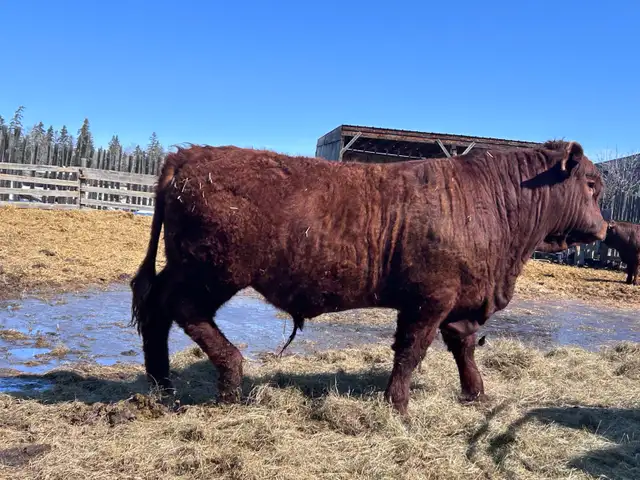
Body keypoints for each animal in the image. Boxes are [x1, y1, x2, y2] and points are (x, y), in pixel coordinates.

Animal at [130, 140, 607, 415]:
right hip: (212, 273)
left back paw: (162, 384)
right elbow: (411, 352)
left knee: (154, 306)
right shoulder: (429, 301)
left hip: (190, 269)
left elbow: (463, 346)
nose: (603, 229)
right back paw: (230, 380)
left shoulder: (458, 302)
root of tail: (187, 156)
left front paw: (476, 393)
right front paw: (398, 405)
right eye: (591, 184)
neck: (491, 199)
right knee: (182, 310)